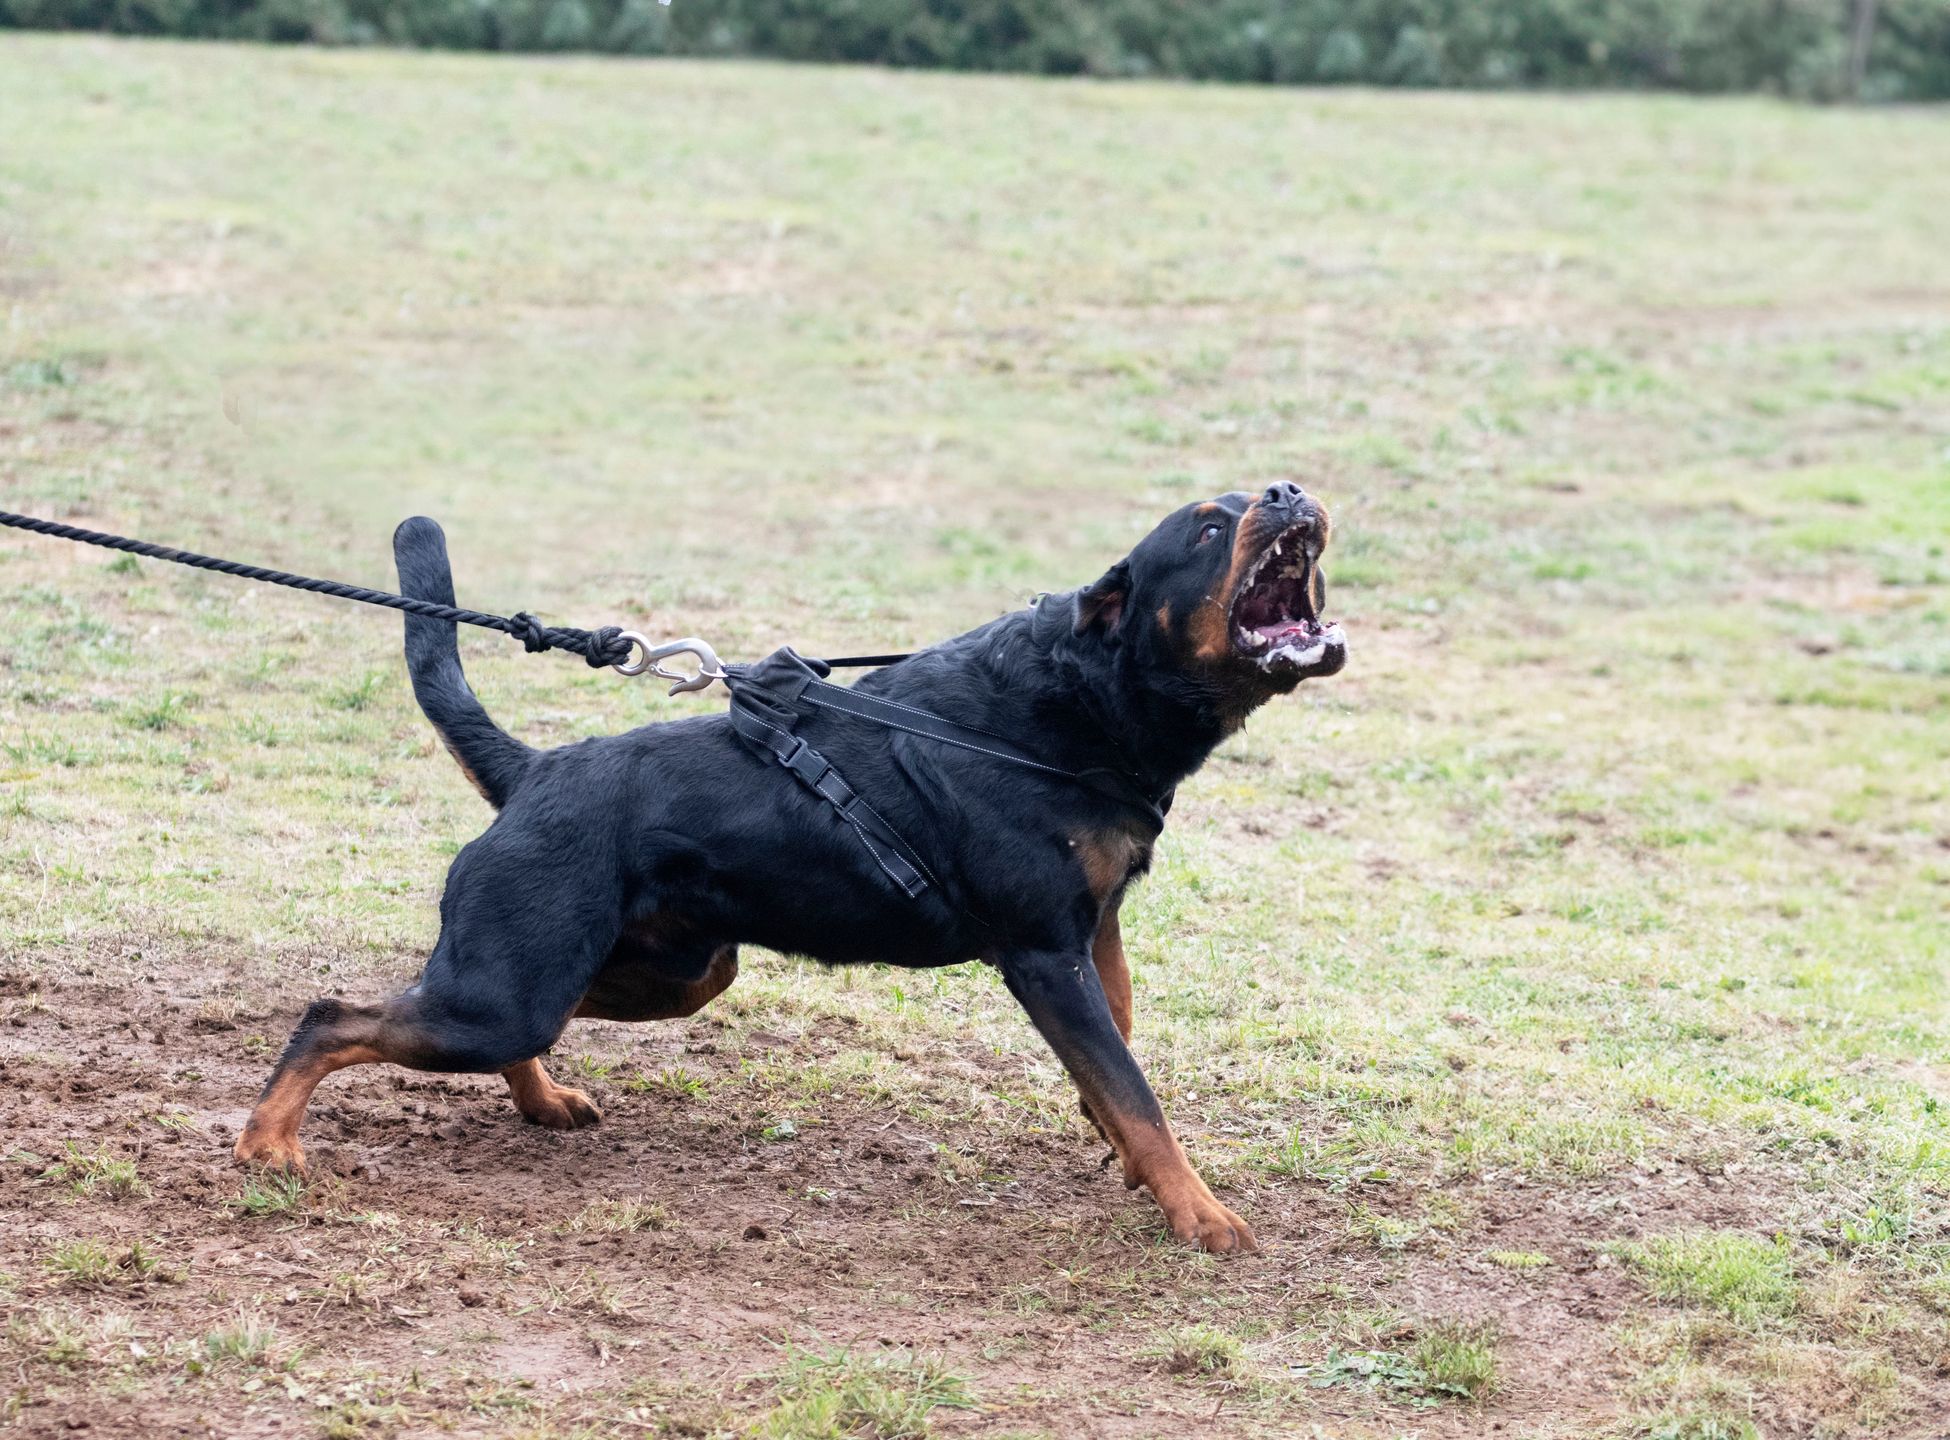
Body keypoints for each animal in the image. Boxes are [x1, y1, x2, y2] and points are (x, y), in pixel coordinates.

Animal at [239, 481, 1341, 1248]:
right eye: (1208, 529)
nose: (1289, 490)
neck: (1082, 702)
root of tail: (536, 769)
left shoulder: (1094, 925)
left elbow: (1121, 1051)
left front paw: (1124, 1159)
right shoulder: (1041, 953)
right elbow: (1135, 1090)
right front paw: (1201, 1217)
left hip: (660, 971)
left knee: (488, 1021)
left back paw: (543, 1101)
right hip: (517, 987)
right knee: (333, 1014)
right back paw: (267, 1144)